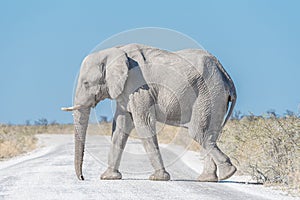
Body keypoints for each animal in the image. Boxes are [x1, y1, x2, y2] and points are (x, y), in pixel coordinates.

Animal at [61, 43, 237, 182]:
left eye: (86, 83)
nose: (82, 178)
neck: (114, 52)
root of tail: (225, 74)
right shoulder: (125, 91)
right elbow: (120, 127)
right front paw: (108, 177)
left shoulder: (138, 86)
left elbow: (143, 124)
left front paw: (158, 178)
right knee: (208, 133)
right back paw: (208, 179)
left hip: (208, 93)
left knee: (198, 132)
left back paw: (228, 173)